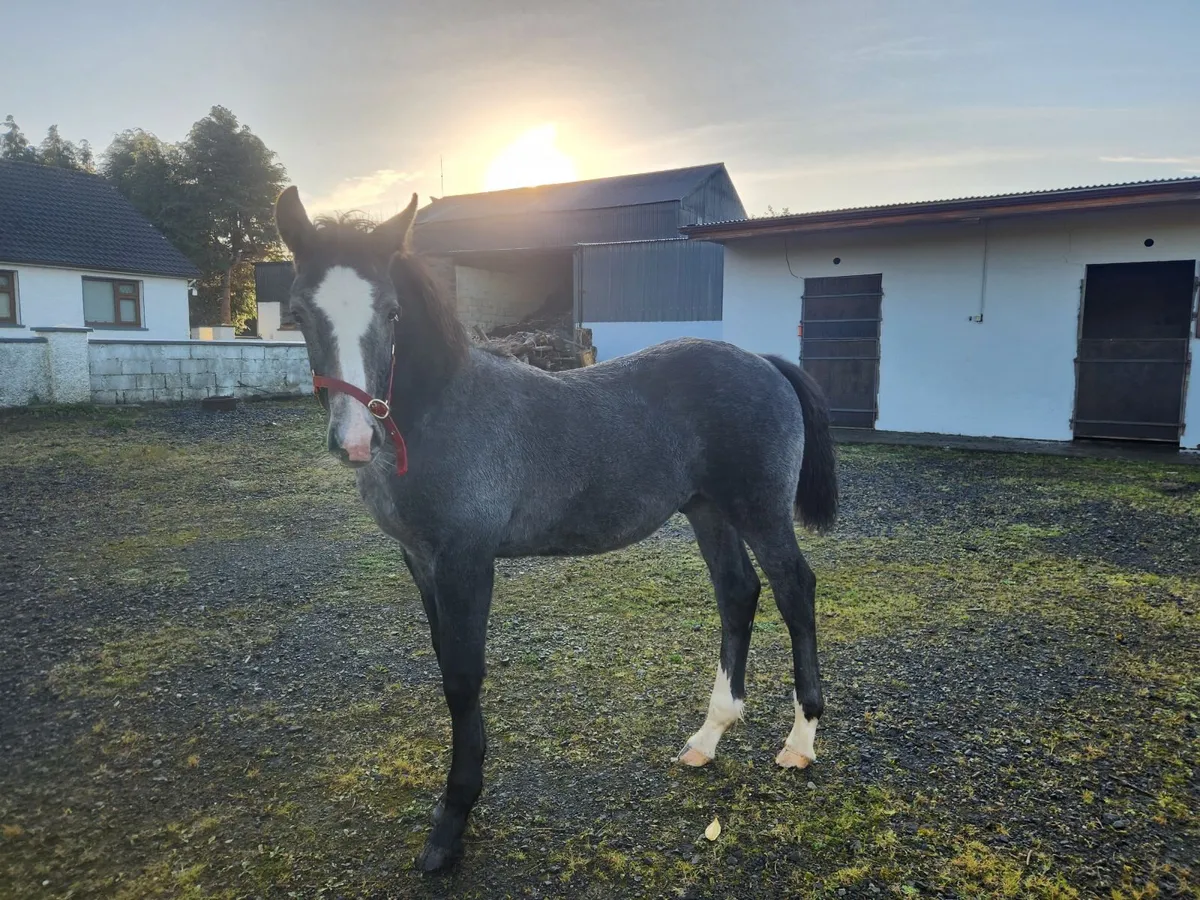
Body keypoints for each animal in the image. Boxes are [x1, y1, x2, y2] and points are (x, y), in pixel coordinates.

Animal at [272, 186, 839, 873]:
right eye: (299, 312)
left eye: (392, 311)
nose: (356, 439)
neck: (439, 413)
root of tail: (765, 363)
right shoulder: (420, 561)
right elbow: (445, 664)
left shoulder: (466, 560)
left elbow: (463, 676)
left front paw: (452, 822)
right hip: (707, 509)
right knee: (738, 593)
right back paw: (707, 737)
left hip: (758, 509)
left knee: (794, 591)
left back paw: (800, 741)